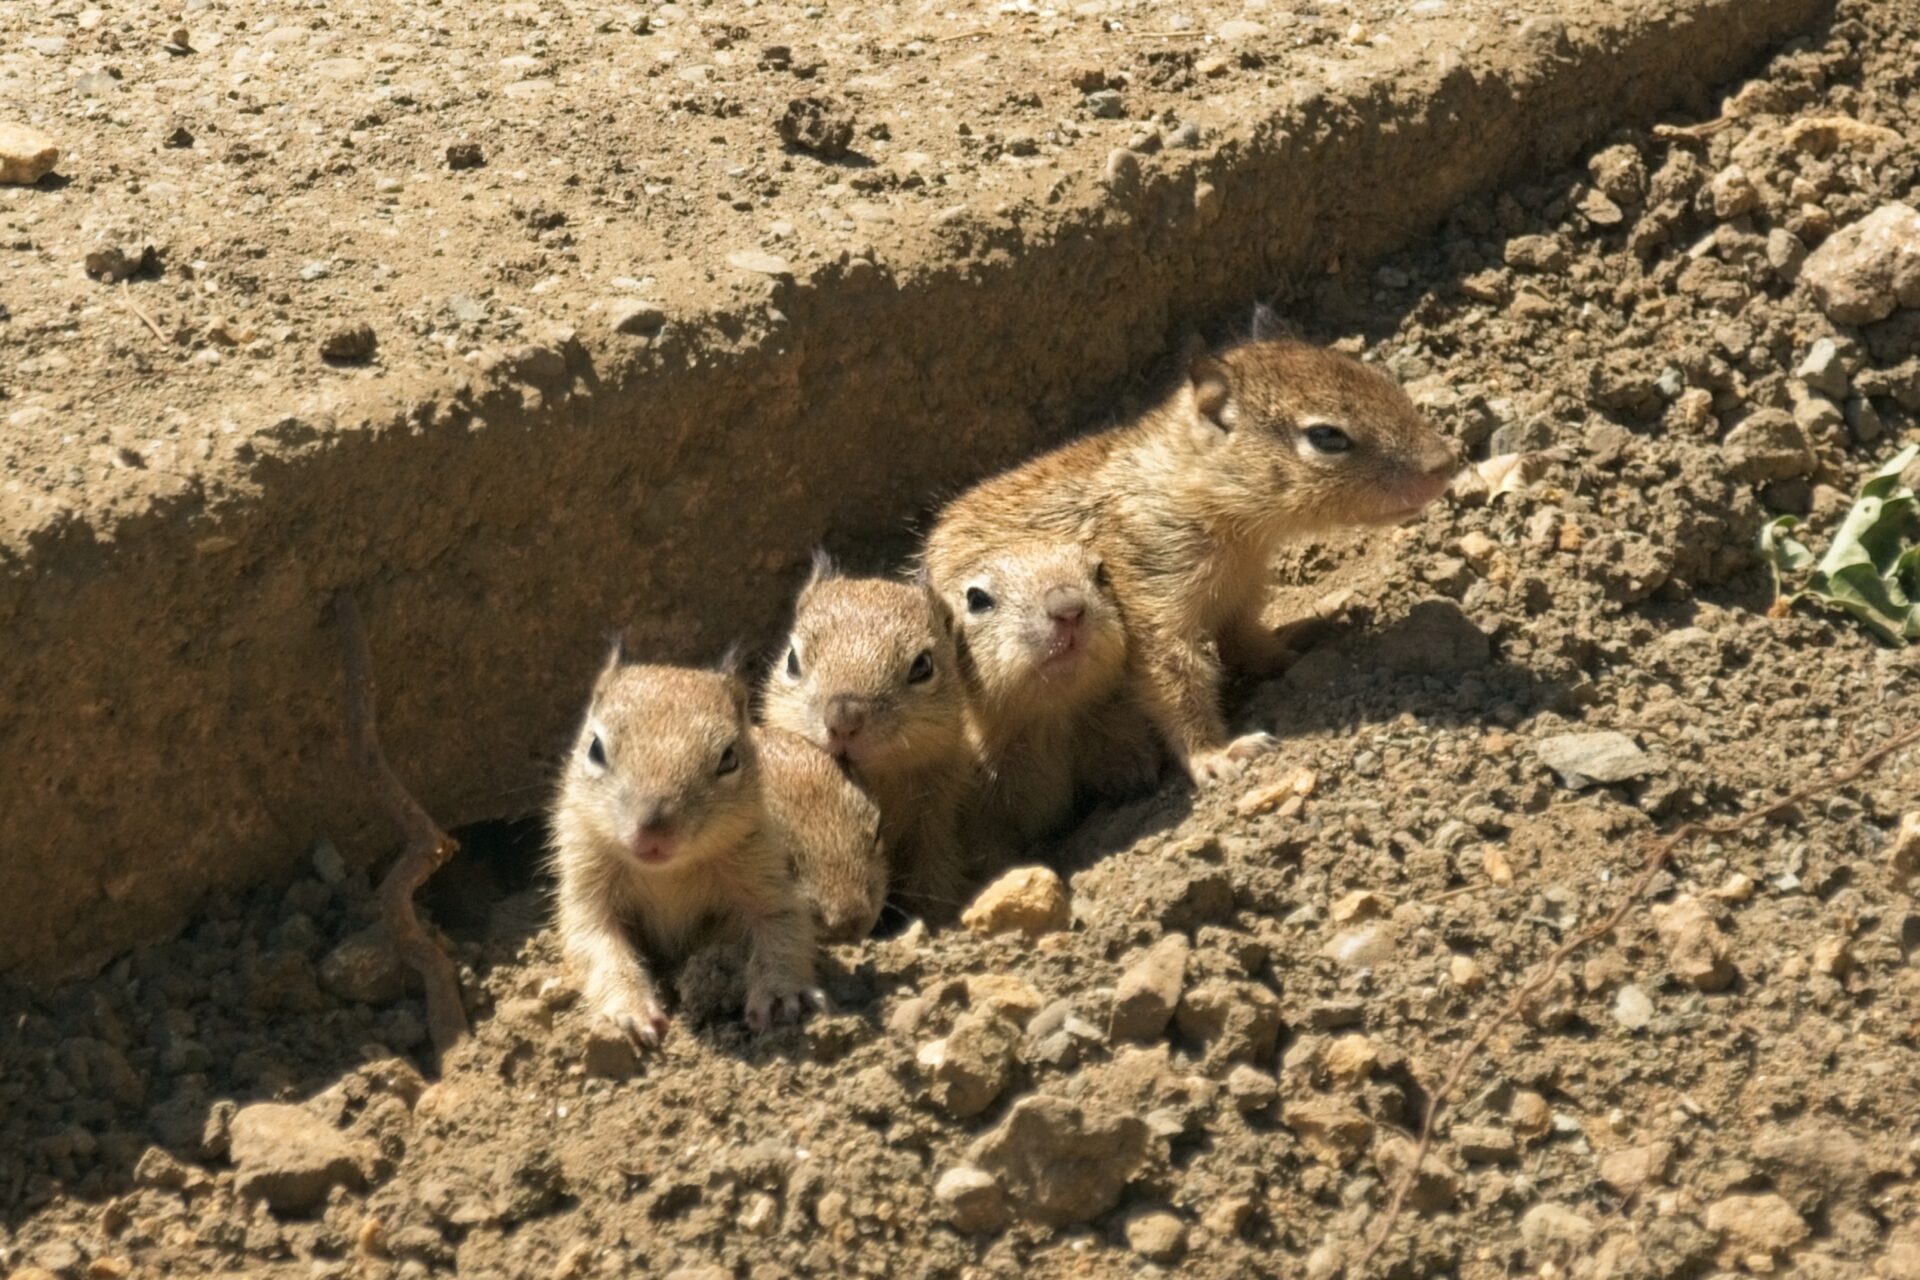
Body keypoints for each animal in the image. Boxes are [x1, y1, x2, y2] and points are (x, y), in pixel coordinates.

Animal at [550, 648, 822, 1047]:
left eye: (729, 758)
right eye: (595, 749)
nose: (653, 835)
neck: (667, 872)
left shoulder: (763, 872)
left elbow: (783, 929)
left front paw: (777, 997)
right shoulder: (586, 880)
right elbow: (597, 943)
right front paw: (629, 1012)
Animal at [923, 316, 1458, 787]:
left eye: (1380, 377)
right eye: (1326, 436)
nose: (1446, 463)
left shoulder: (1243, 595)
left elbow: (1246, 641)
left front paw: (1288, 650)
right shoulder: (1154, 615)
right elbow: (1179, 687)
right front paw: (1216, 756)